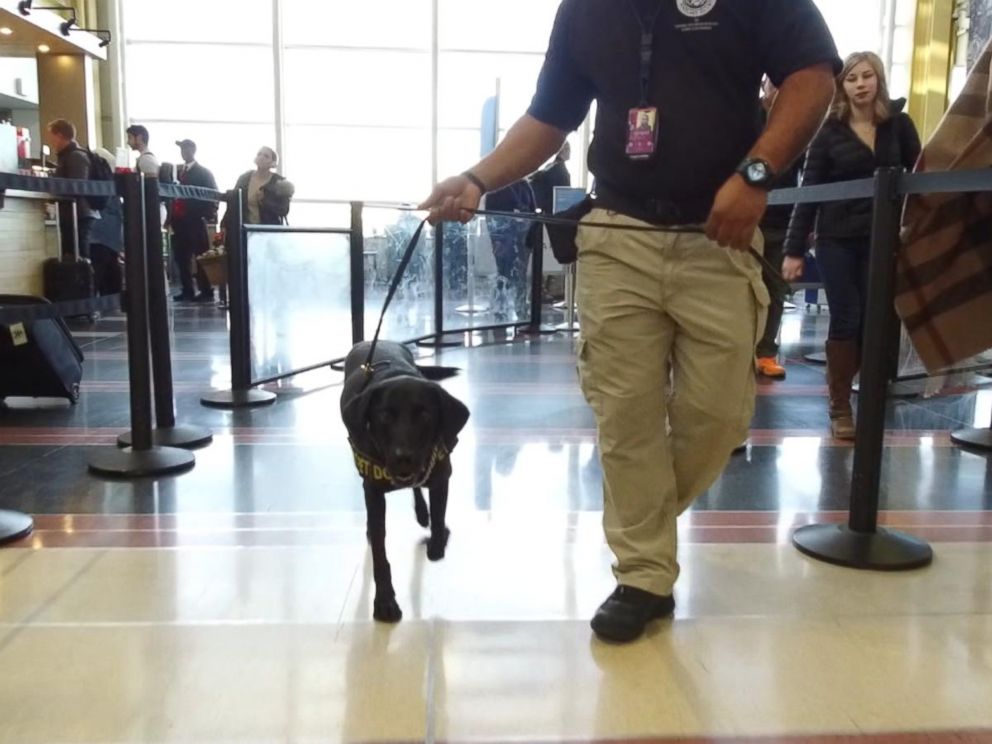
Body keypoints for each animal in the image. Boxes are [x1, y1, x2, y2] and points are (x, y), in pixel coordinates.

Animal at [340, 342, 468, 620]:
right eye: (385, 416)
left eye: (425, 415)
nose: (403, 458)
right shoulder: (373, 491)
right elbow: (379, 553)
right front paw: (385, 602)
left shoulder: (441, 474)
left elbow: (438, 522)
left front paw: (438, 539)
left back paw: (422, 514)